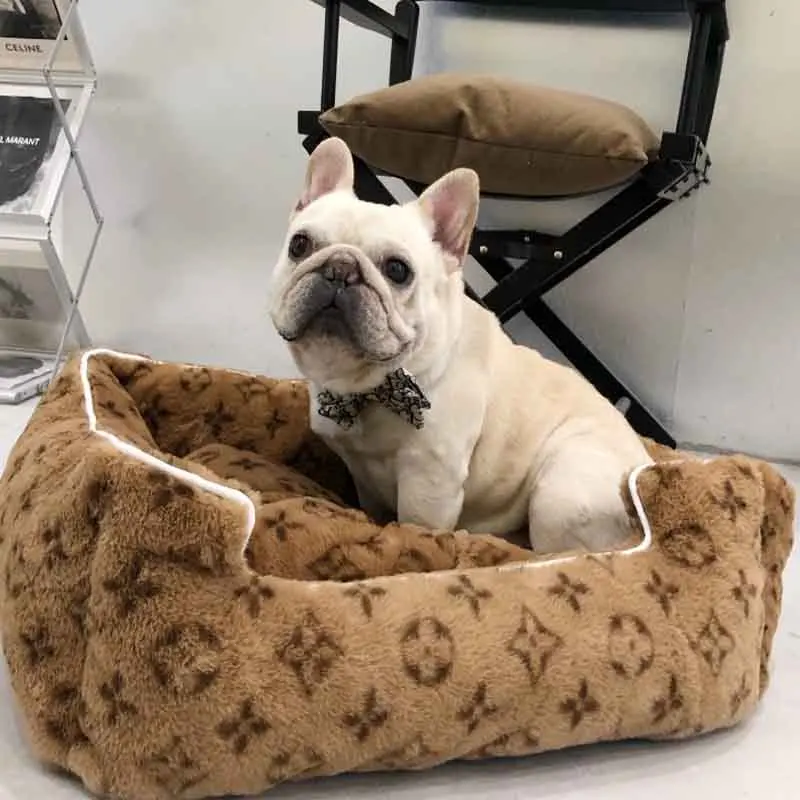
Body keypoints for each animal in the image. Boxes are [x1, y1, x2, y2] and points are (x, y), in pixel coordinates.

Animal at [270, 137, 653, 553]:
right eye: (299, 245)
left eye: (398, 270)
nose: (339, 269)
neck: (365, 386)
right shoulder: (363, 478)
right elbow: (373, 508)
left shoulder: (430, 481)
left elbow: (416, 528)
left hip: (562, 494)